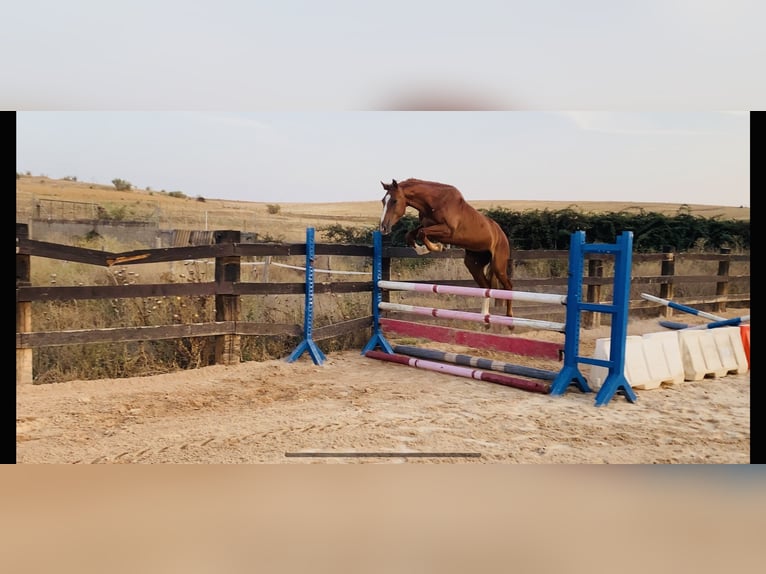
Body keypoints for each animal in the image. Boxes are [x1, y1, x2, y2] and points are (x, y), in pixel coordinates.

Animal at [380, 179, 516, 322]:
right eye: (383, 201)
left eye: (394, 201)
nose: (383, 228)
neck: (434, 202)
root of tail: (502, 235)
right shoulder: (426, 225)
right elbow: (411, 235)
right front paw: (425, 249)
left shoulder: (448, 231)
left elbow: (422, 233)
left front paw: (437, 247)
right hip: (474, 263)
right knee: (486, 286)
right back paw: (484, 317)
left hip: (498, 265)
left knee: (508, 286)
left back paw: (510, 318)